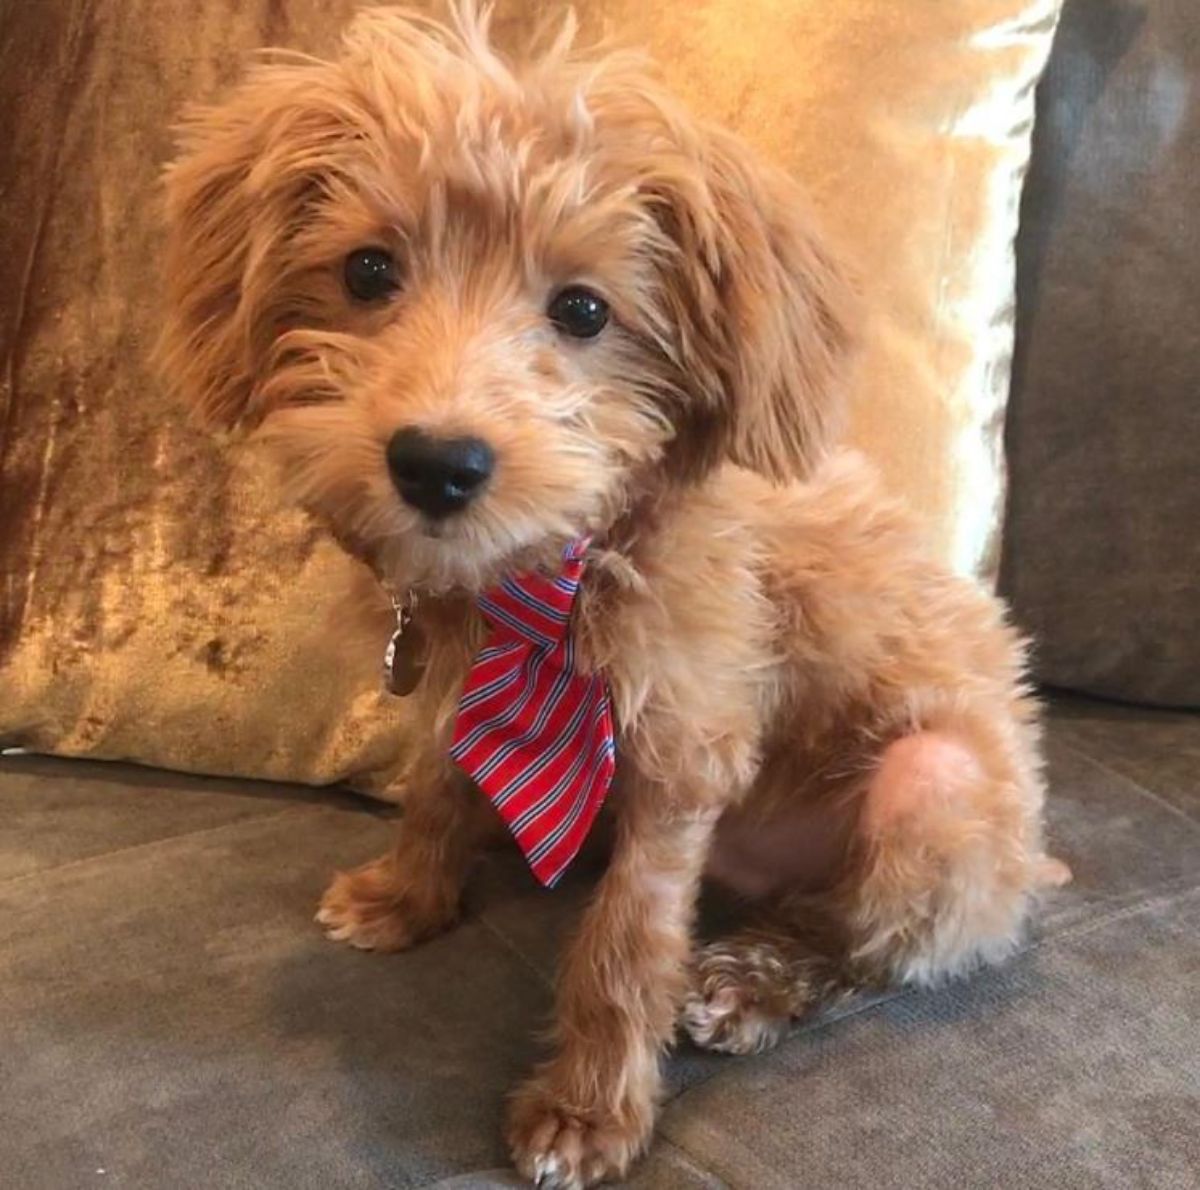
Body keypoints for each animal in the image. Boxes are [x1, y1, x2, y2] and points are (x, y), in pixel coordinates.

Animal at [159, 4, 1070, 1185]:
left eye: (584, 309)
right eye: (367, 270)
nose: (437, 463)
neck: (555, 566)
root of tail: (1031, 864)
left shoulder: (686, 747)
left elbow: (628, 940)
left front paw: (586, 1112)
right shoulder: (457, 690)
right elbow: (438, 785)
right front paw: (406, 894)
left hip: (934, 785)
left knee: (859, 943)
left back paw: (752, 982)